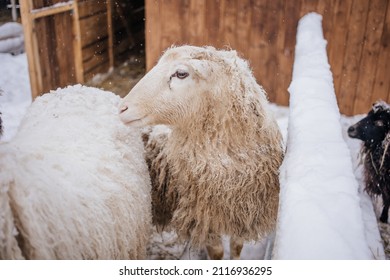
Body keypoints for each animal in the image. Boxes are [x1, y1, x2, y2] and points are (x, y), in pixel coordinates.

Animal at [119, 44, 284, 260]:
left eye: (181, 73)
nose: (122, 108)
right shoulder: (204, 218)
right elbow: (217, 252)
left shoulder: (243, 213)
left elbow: (237, 247)